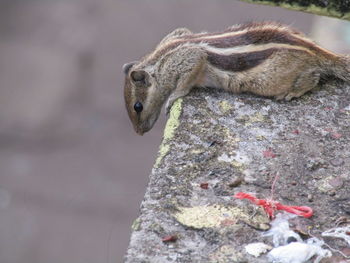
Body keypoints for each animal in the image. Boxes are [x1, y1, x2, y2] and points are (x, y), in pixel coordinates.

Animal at [122, 21, 350, 135]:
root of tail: (315, 50)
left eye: (137, 107)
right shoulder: (178, 33)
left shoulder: (188, 59)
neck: (158, 60)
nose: (139, 132)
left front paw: (173, 97)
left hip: (272, 79)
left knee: (314, 76)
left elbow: (188, 77)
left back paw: (293, 91)